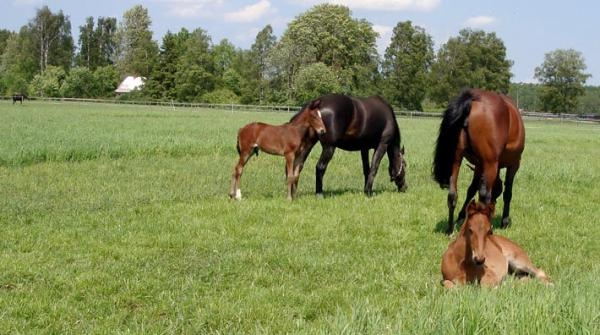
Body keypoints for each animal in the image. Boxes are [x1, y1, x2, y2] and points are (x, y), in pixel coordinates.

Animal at [432, 89, 524, 236]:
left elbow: (471, 189)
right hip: (490, 163)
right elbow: (508, 192)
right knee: (484, 196)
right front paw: (505, 221)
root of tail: (473, 99)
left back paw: (450, 229)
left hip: (456, 159)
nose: (494, 204)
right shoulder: (514, 164)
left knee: (452, 194)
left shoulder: (478, 165)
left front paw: (461, 217)